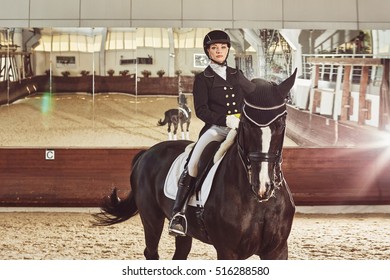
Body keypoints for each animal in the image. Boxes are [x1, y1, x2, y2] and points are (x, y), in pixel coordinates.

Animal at [94, 70, 296, 260]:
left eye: (281, 123)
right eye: (246, 124)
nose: (262, 186)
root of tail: (146, 153)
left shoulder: (277, 250)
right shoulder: (228, 251)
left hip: (184, 231)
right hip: (151, 218)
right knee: (151, 252)